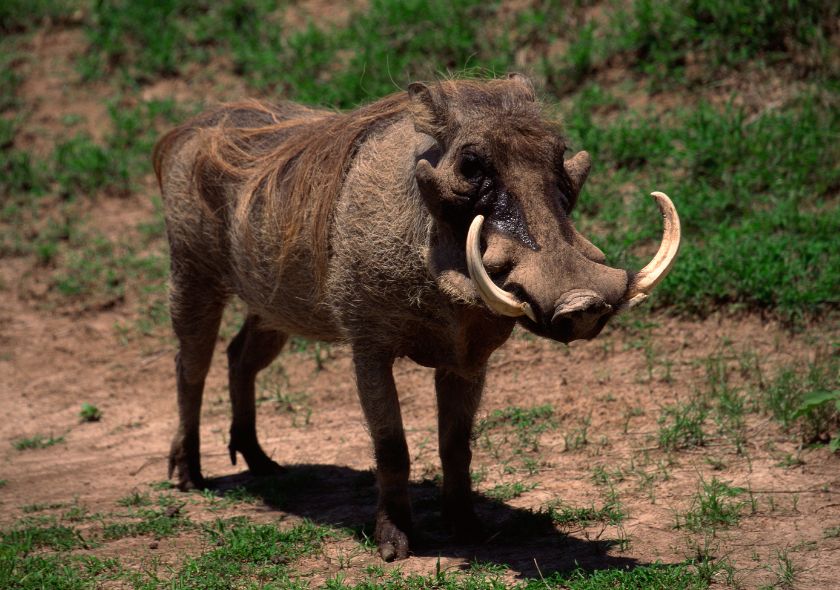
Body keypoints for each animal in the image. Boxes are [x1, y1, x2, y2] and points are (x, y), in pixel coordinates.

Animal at [153, 74, 680, 561]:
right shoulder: (368, 348)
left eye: (560, 153)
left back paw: (262, 462)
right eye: (470, 164)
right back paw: (188, 476)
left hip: (272, 307)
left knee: (240, 357)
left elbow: (457, 446)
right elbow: (392, 446)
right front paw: (394, 545)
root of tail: (188, 128)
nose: (583, 303)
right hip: (192, 274)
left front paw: (469, 531)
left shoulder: (470, 358)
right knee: (190, 366)